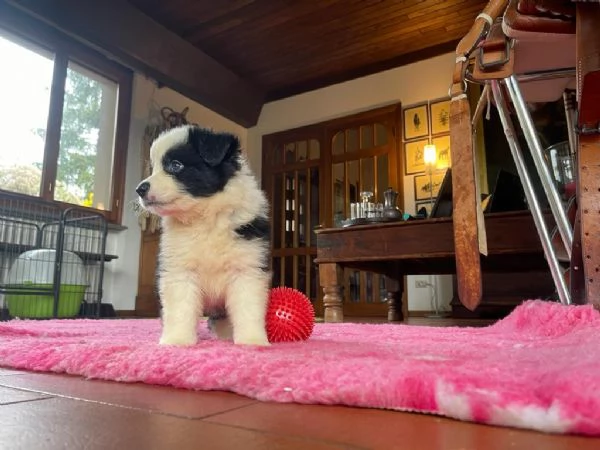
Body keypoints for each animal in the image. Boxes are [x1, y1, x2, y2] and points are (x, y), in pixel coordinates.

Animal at [137, 125, 270, 346]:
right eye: (153, 168)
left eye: (175, 165)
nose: (139, 189)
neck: (205, 217)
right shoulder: (178, 270)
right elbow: (180, 308)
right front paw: (177, 340)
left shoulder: (247, 269)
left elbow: (248, 308)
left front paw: (252, 341)